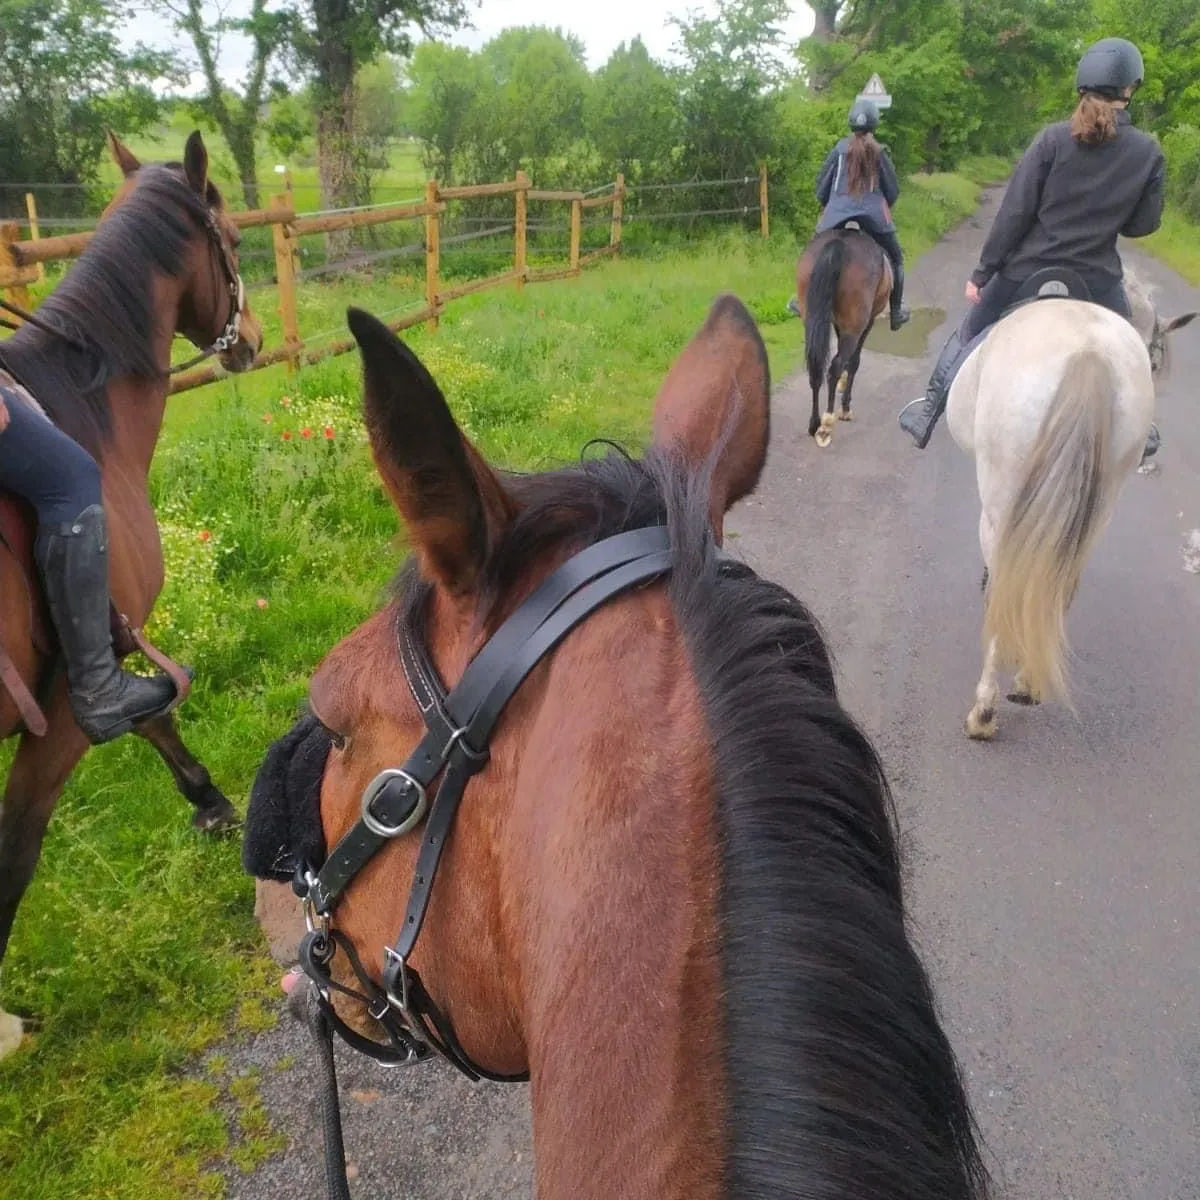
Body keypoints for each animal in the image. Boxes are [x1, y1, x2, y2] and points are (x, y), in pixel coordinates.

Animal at [0, 126, 264, 1056]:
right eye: (234, 239)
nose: (253, 337)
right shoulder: (66, 704)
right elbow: (17, 844)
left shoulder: (106, 644)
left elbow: (158, 715)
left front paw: (213, 805)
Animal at [787, 224, 892, 446]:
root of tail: (838, 243)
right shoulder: (866, 323)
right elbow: (854, 362)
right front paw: (845, 408)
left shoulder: (837, 323)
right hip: (855, 325)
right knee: (835, 366)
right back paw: (827, 424)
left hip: (812, 318)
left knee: (816, 366)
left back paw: (814, 424)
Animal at [945, 268, 1190, 739]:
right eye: (1153, 358)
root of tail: (1089, 352)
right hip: (1101, 501)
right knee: (1059, 578)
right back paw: (1029, 680)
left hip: (1003, 498)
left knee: (1007, 579)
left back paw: (984, 712)